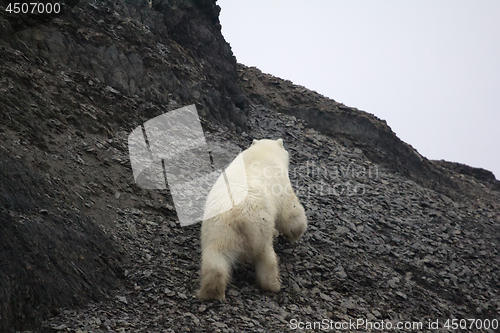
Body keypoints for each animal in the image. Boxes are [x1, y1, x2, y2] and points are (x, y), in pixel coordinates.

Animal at [197, 139, 306, 300]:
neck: (262, 152)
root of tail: (237, 216)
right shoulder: (281, 185)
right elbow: (289, 212)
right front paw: (297, 232)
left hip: (218, 230)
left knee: (215, 259)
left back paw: (211, 292)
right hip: (259, 226)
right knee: (265, 255)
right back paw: (273, 285)